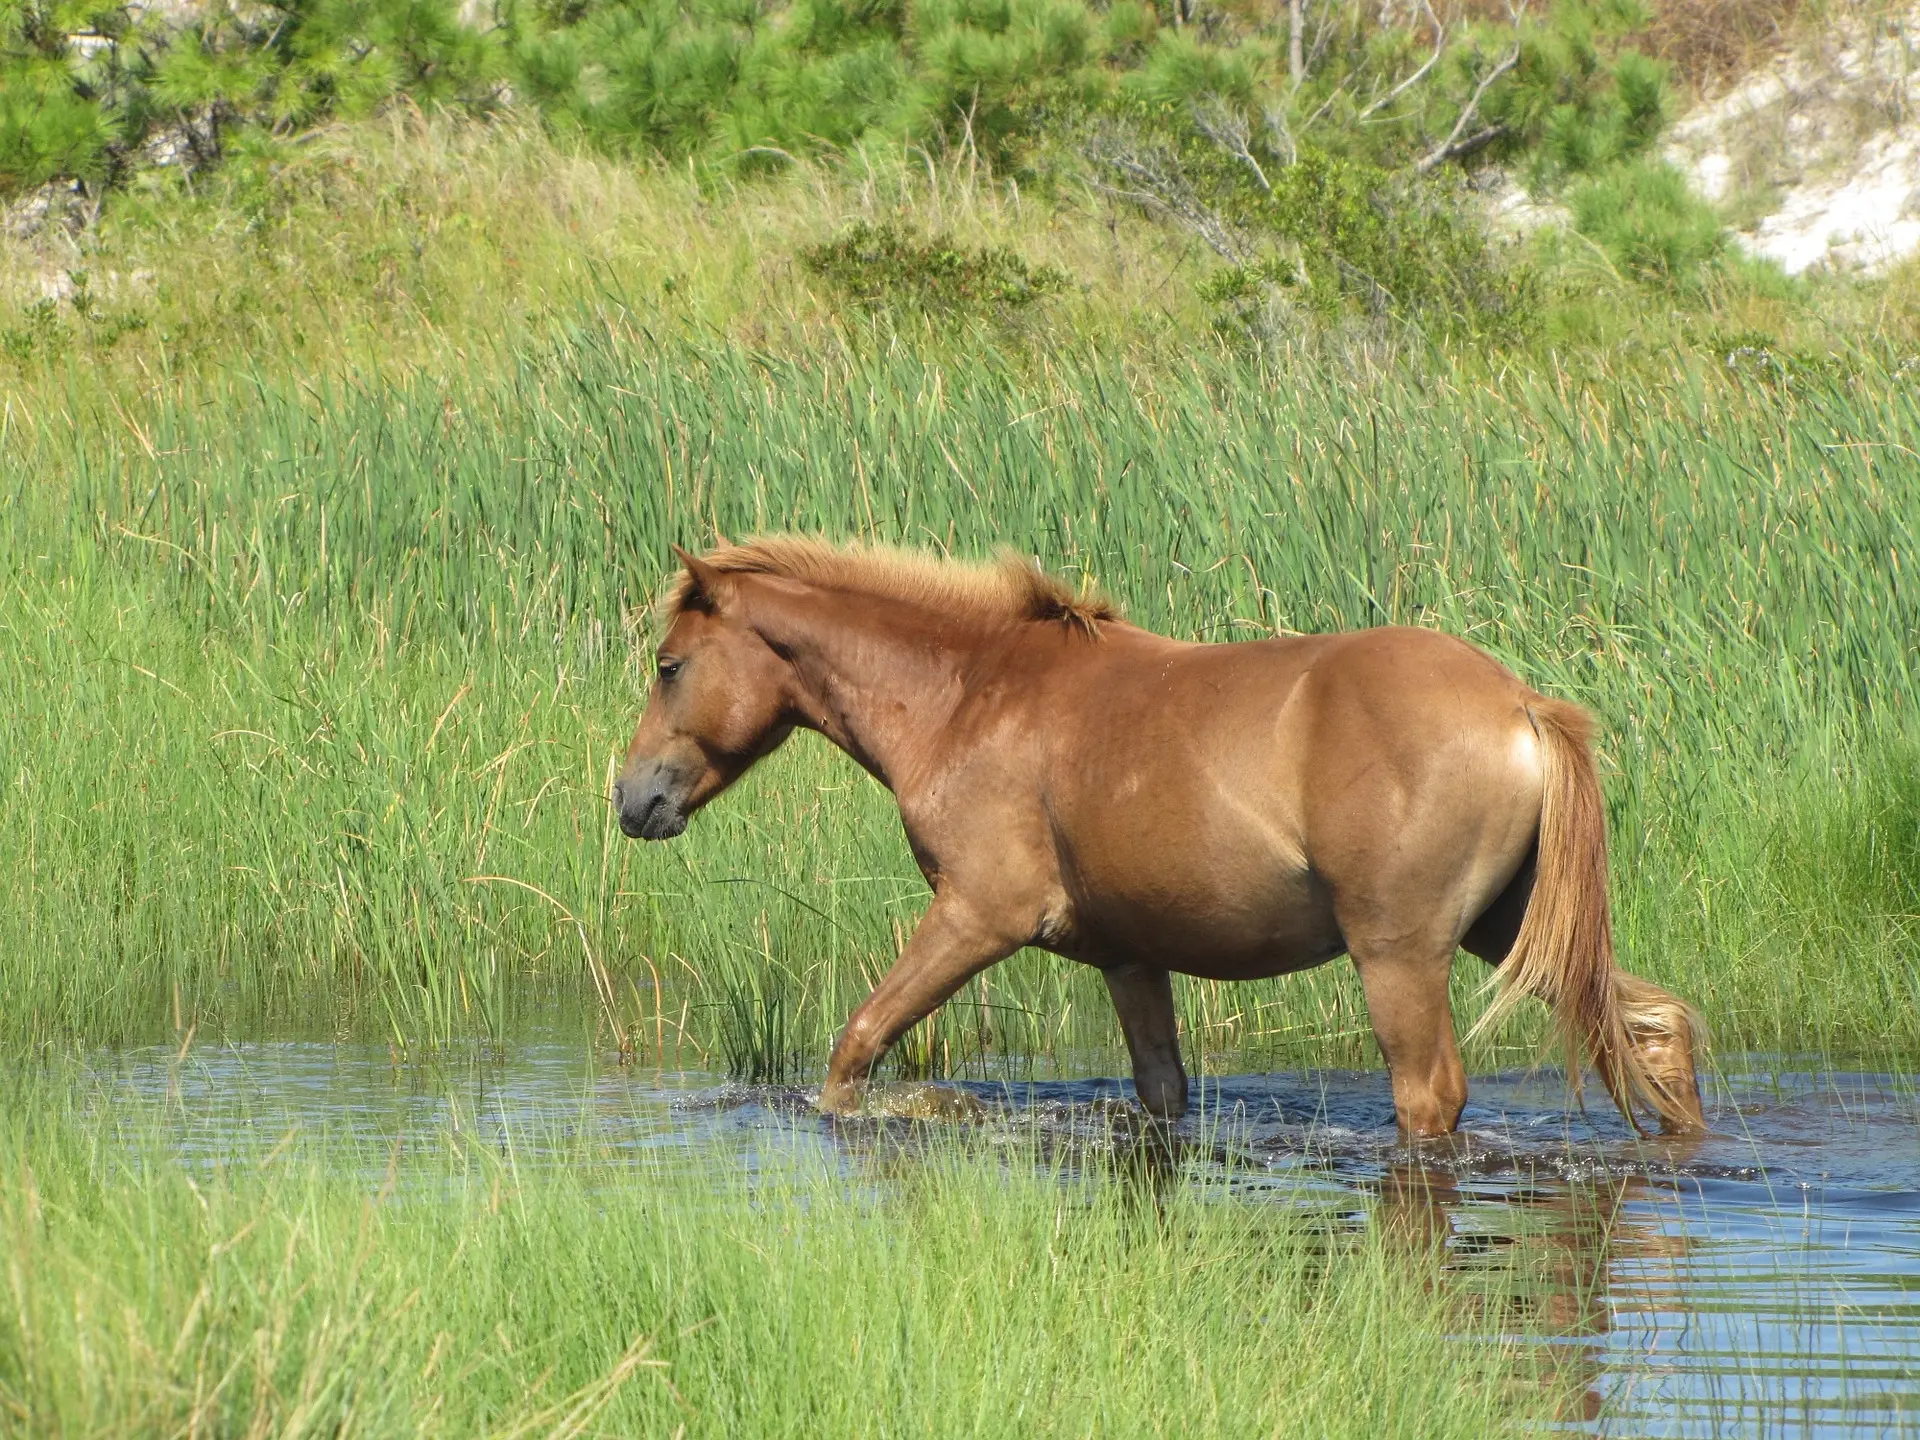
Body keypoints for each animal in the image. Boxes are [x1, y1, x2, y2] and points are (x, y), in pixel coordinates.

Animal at [610, 537, 1697, 1136]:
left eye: (670, 665)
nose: (631, 796)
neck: (969, 695)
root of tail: (1519, 704)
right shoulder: (1129, 958)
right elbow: (1161, 1093)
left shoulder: (978, 916)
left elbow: (854, 1051)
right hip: (1510, 933)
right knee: (1656, 1027)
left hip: (1402, 954)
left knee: (1429, 1096)